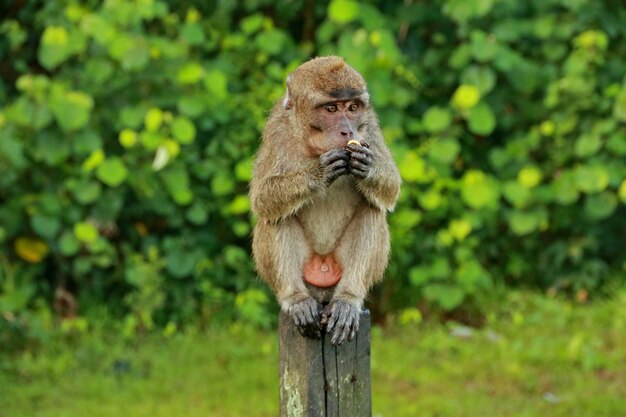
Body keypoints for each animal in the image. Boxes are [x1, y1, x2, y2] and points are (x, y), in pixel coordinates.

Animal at [249, 56, 400, 344]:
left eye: (352, 107)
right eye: (330, 108)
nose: (347, 131)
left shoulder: (369, 126)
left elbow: (391, 189)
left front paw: (367, 167)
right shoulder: (277, 129)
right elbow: (262, 199)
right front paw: (320, 172)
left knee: (372, 209)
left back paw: (348, 299)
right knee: (278, 216)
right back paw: (296, 299)